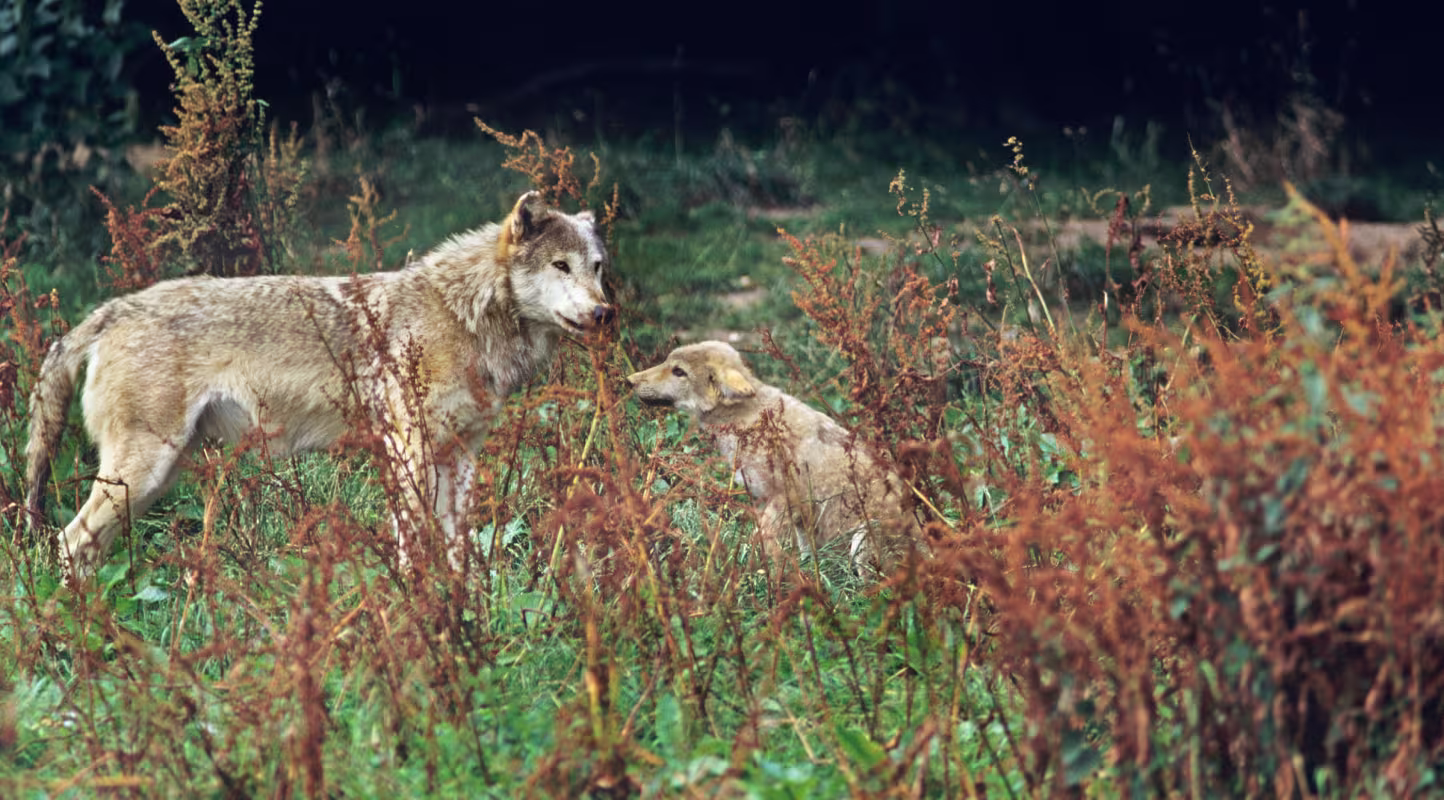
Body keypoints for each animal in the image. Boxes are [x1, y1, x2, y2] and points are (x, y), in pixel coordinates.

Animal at [26, 191, 614, 580]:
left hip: (154, 479)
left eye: (597, 268)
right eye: (560, 266)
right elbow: (411, 543)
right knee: (67, 541)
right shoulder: (408, 450)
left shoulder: (461, 455)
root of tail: (111, 309)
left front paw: (461, 604)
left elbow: (455, 545)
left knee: (83, 547)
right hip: (143, 471)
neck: (463, 314)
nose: (604, 312)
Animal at [626, 341, 921, 574]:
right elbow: (804, 553)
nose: (630, 380)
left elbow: (762, 539)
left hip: (862, 542)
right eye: (667, 363)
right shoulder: (797, 515)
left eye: (679, 371)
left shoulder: (782, 500)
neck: (746, 421)